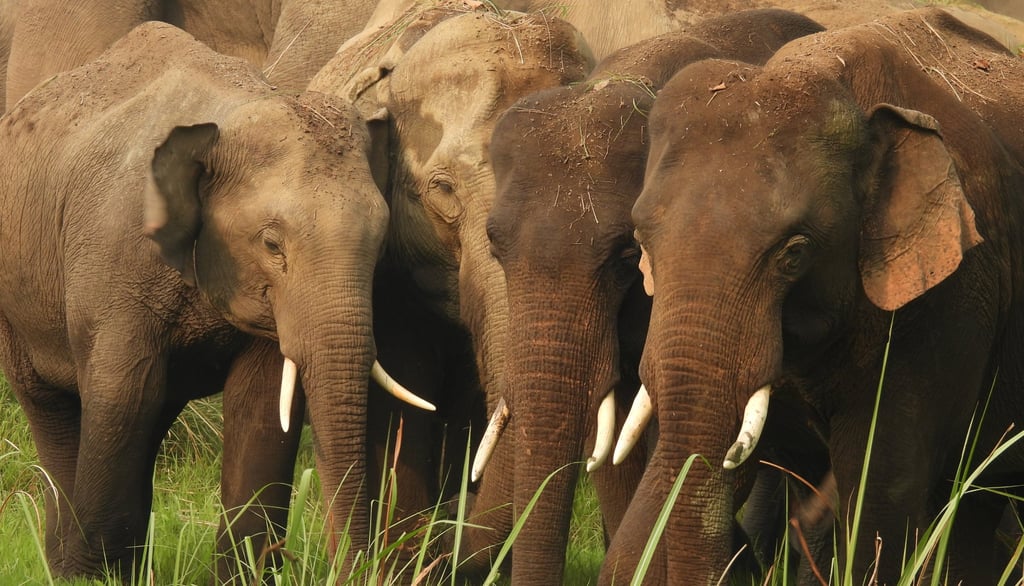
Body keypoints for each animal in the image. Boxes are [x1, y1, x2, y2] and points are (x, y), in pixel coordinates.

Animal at [0, 21, 414, 582]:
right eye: (272, 245)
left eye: (380, 244)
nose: (357, 568)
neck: (231, 115)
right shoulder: (114, 260)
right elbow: (123, 394)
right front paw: (94, 576)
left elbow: (261, 405)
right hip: (16, 302)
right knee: (56, 409)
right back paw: (66, 566)